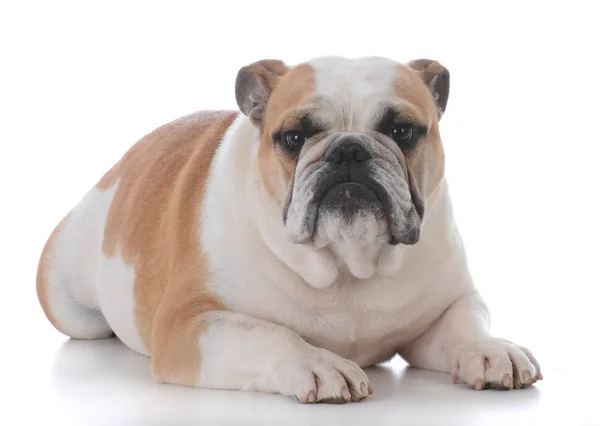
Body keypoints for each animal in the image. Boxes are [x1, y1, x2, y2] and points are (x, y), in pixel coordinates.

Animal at [38, 55, 544, 402]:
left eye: (402, 131)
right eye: (294, 138)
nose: (348, 150)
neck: (349, 262)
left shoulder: (447, 304)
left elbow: (465, 322)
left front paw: (491, 348)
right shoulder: (189, 323)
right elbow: (267, 333)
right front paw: (316, 361)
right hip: (70, 305)